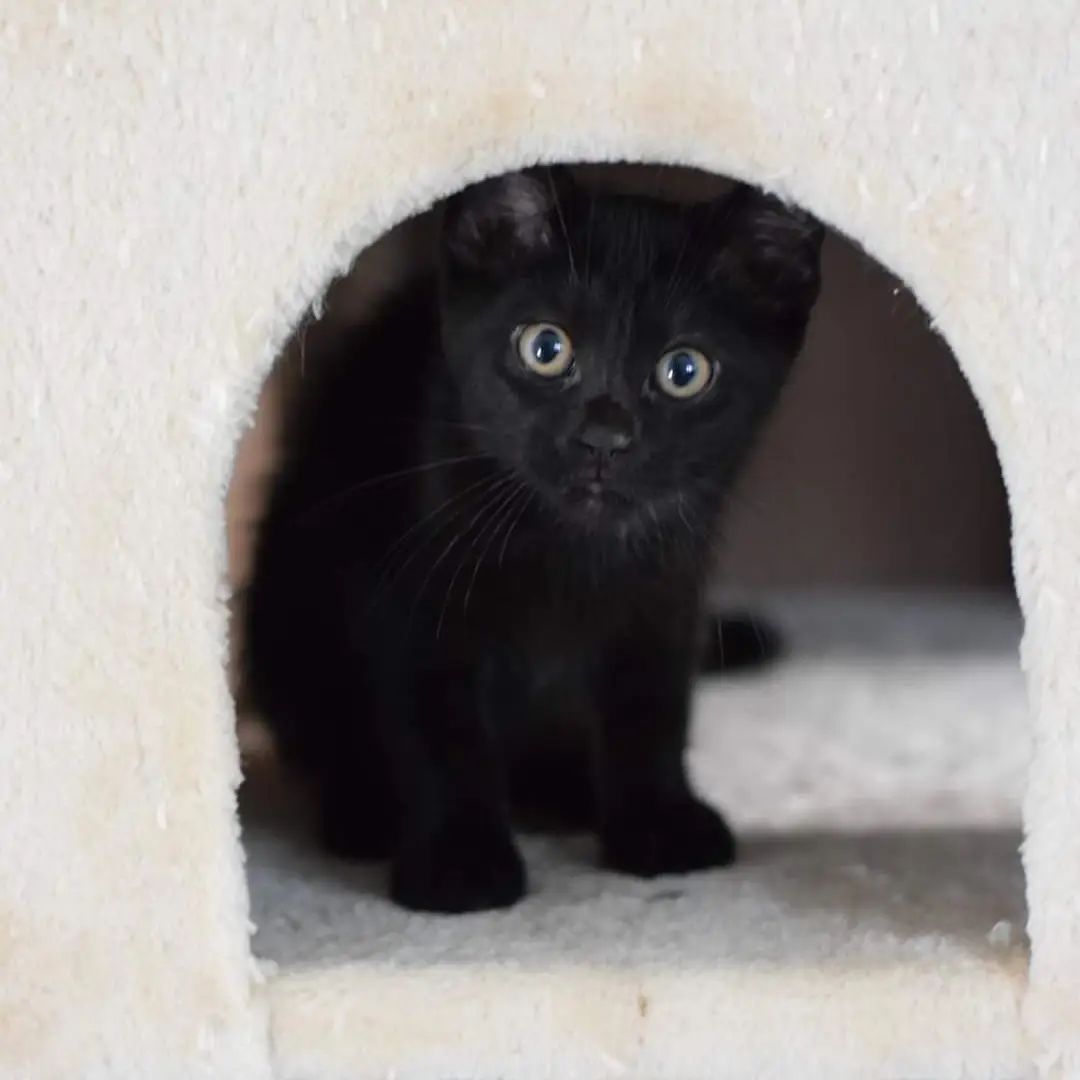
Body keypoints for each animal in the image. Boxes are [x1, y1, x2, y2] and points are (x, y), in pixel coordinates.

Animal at [243, 170, 816, 911]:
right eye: (545, 349)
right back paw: (363, 815)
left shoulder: (665, 596)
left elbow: (653, 706)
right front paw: (460, 862)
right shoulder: (408, 602)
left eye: (685, 371)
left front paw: (658, 823)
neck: (568, 553)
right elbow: (440, 729)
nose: (605, 437)